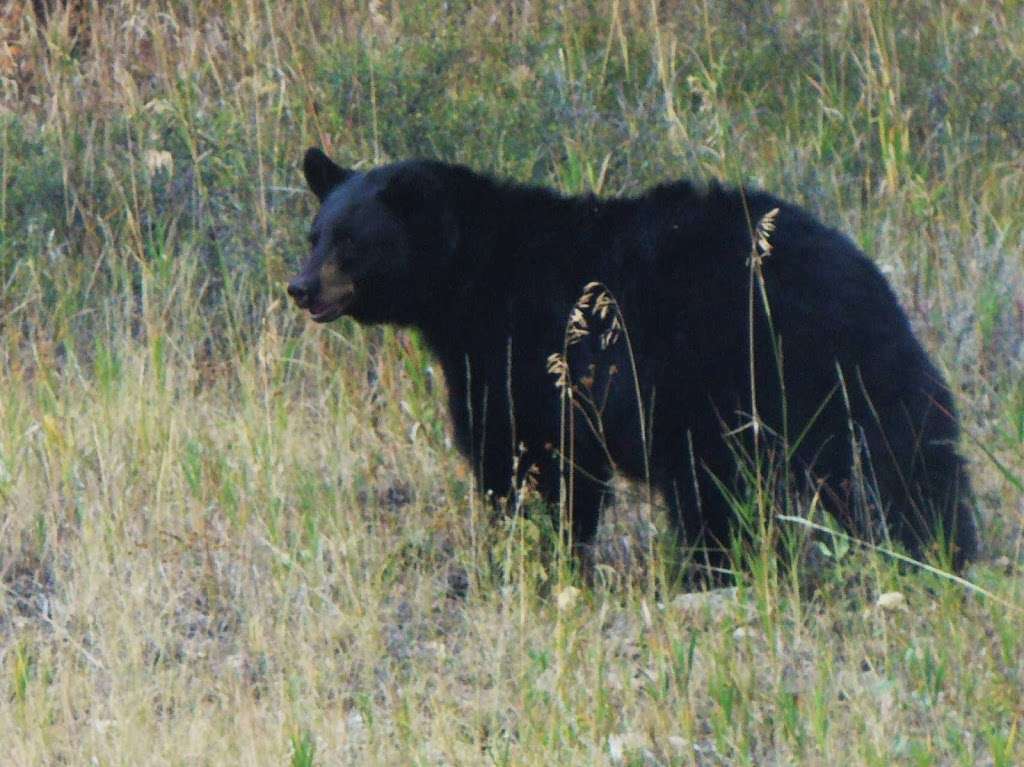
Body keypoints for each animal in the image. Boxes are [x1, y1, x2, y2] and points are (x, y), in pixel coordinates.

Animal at [286, 146, 974, 573]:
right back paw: (943, 547)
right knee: (904, 459)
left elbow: (530, 451)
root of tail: (861, 282)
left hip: (728, 373)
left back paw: (712, 568)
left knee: (718, 490)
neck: (469, 278)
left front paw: (536, 547)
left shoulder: (528, 343)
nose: (301, 288)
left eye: (350, 242)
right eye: (315, 234)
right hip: (853, 379)